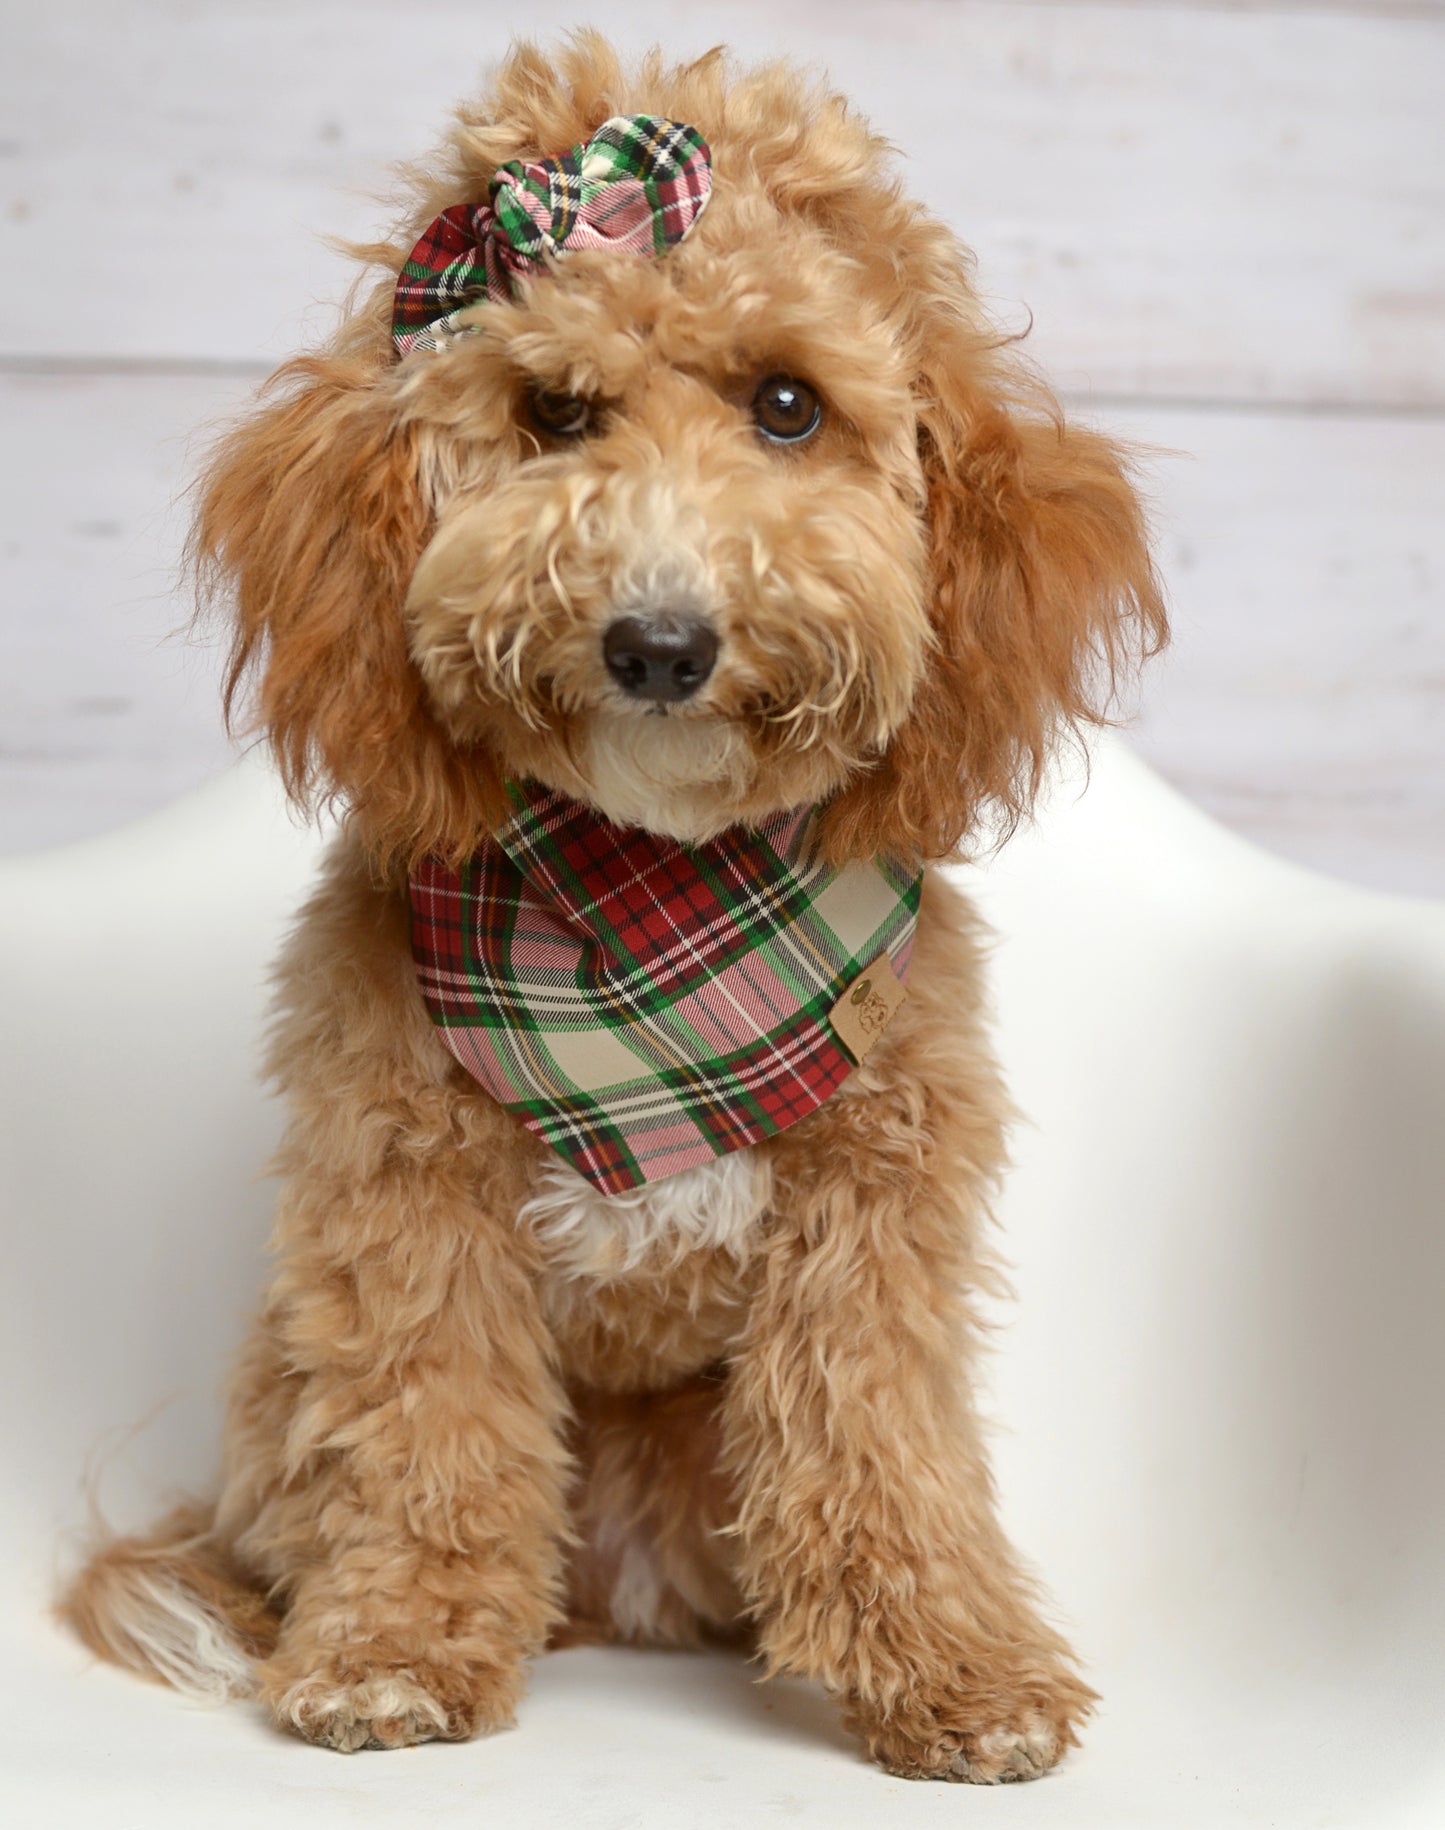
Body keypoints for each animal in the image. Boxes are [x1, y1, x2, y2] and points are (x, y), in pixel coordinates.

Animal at [67, 28, 1170, 1778]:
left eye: (787, 404)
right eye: (554, 411)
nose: (660, 642)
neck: (657, 906)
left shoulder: (875, 1203)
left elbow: (880, 1440)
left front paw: (954, 1668)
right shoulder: (406, 1189)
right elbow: (428, 1428)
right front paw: (395, 1649)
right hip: (285, 1397)